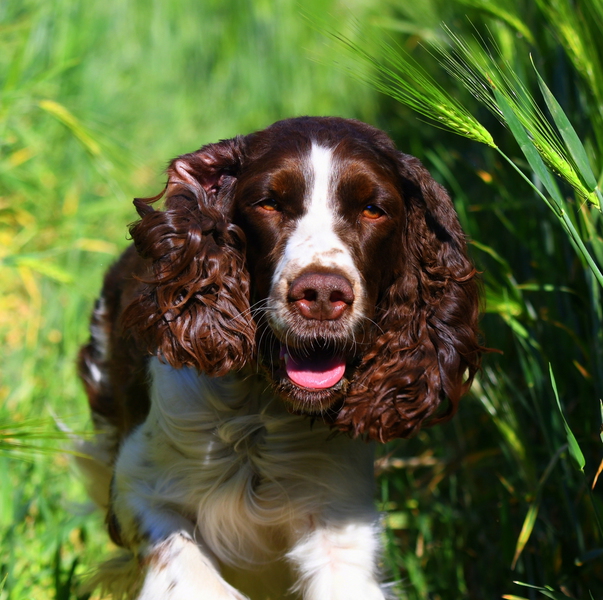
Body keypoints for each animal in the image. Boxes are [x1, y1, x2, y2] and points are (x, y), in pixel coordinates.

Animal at [77, 116, 482, 599]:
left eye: (373, 209)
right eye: (268, 203)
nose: (322, 293)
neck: (259, 412)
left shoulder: (338, 522)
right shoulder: (139, 489)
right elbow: (191, 572)